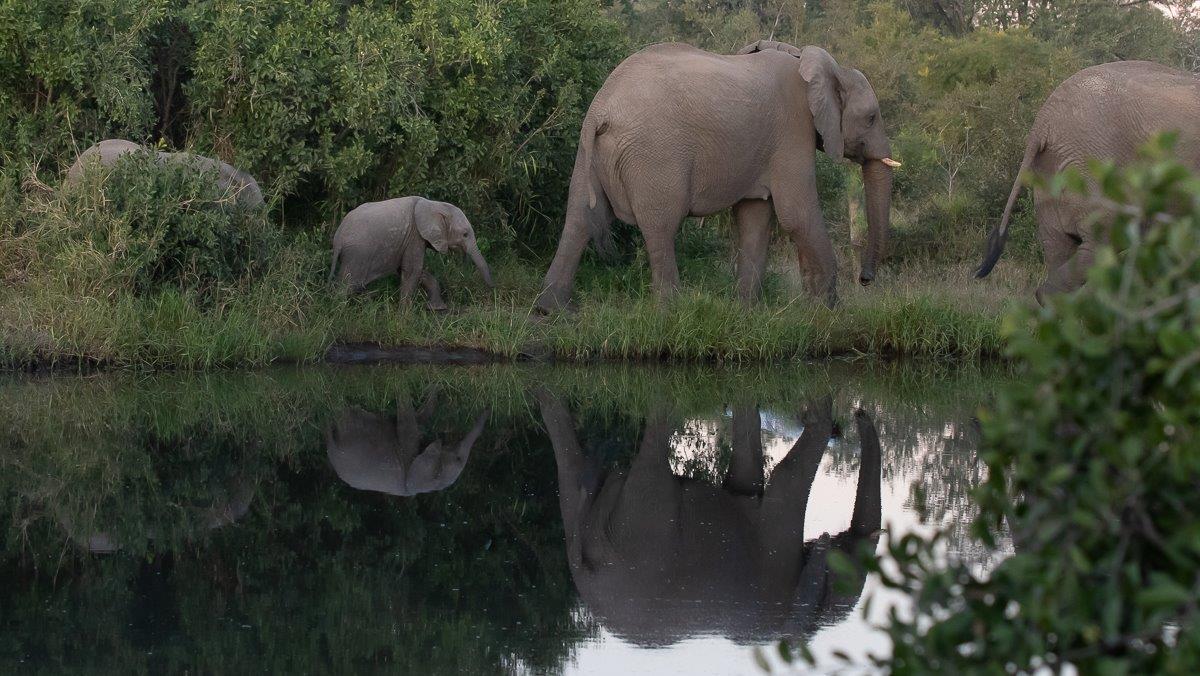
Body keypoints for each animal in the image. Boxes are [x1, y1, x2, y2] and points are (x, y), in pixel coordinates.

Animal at [329, 196, 494, 311]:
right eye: (465, 234)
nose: (492, 290)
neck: (433, 204)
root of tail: (338, 239)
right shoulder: (415, 235)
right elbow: (413, 269)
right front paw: (404, 315)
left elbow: (413, 271)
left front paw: (436, 308)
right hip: (357, 254)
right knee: (348, 285)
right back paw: (339, 311)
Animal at [534, 390, 882, 645]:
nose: (858, 414)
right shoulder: (779, 575)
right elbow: (788, 475)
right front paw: (824, 416)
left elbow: (745, 481)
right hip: (647, 528)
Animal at [535, 40, 900, 312]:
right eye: (871, 117)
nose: (865, 279)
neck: (819, 65)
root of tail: (601, 109)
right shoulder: (793, 131)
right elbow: (796, 214)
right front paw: (830, 313)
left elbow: (755, 216)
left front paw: (748, 312)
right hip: (654, 156)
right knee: (660, 226)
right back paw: (670, 311)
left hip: (589, 154)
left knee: (581, 216)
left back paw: (550, 311)